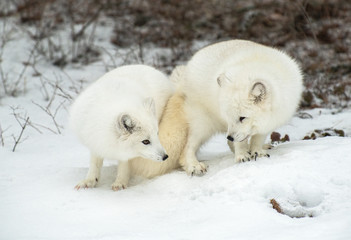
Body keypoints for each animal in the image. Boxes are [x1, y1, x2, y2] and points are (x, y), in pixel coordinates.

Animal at [177, 39, 304, 174]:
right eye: (228, 117)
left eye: (242, 118)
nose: (230, 137)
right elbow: (240, 144)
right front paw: (242, 155)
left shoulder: (268, 123)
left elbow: (257, 139)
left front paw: (257, 152)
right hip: (203, 124)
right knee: (187, 148)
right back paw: (193, 165)